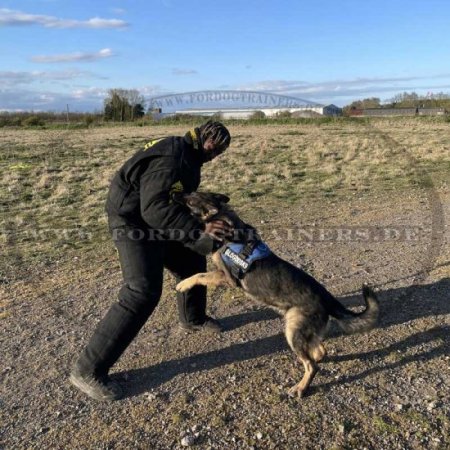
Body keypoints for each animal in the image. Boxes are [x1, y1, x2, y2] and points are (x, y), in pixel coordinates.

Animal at [174, 192, 378, 396]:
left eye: (190, 199)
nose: (174, 193)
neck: (226, 222)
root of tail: (326, 298)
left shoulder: (226, 277)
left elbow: (200, 275)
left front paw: (183, 284)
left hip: (293, 331)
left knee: (312, 366)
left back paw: (300, 387)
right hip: (298, 328)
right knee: (319, 351)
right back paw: (315, 360)